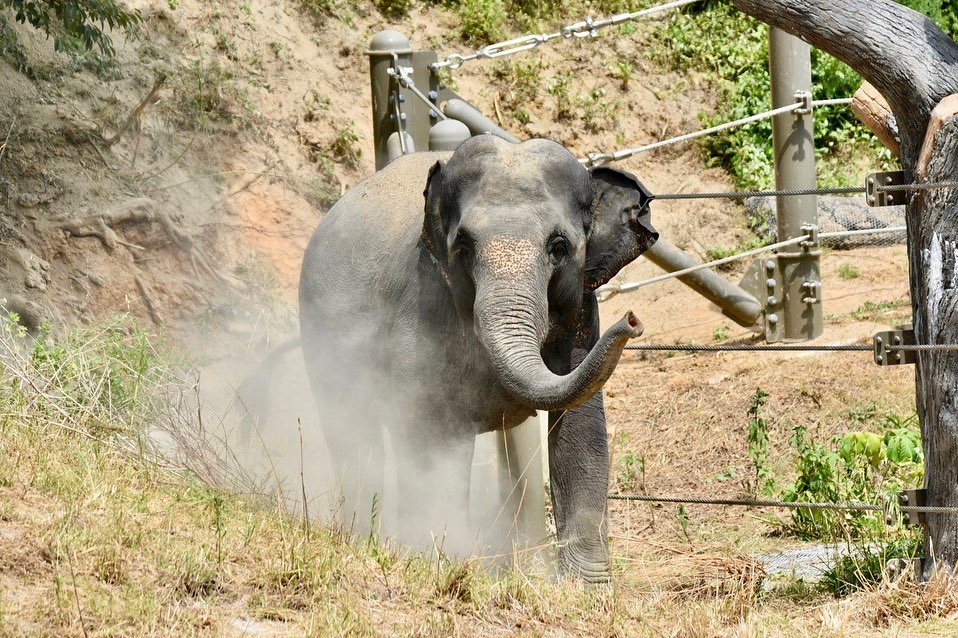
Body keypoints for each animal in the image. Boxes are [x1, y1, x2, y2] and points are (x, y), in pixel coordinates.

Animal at [300, 136, 660, 584]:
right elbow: (434, 428)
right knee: (354, 432)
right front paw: (443, 561)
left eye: (559, 247)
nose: (632, 320)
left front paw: (585, 589)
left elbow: (581, 429)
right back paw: (361, 539)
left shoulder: (580, 312)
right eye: (464, 246)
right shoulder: (422, 302)